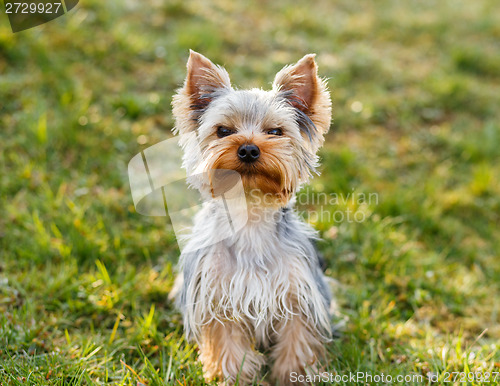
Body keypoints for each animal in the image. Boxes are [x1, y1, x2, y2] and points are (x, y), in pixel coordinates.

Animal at [171, 50, 332, 382]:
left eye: (275, 132)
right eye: (223, 131)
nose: (248, 149)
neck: (250, 212)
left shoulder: (297, 293)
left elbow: (297, 341)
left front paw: (294, 377)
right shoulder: (217, 296)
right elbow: (229, 349)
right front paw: (232, 378)